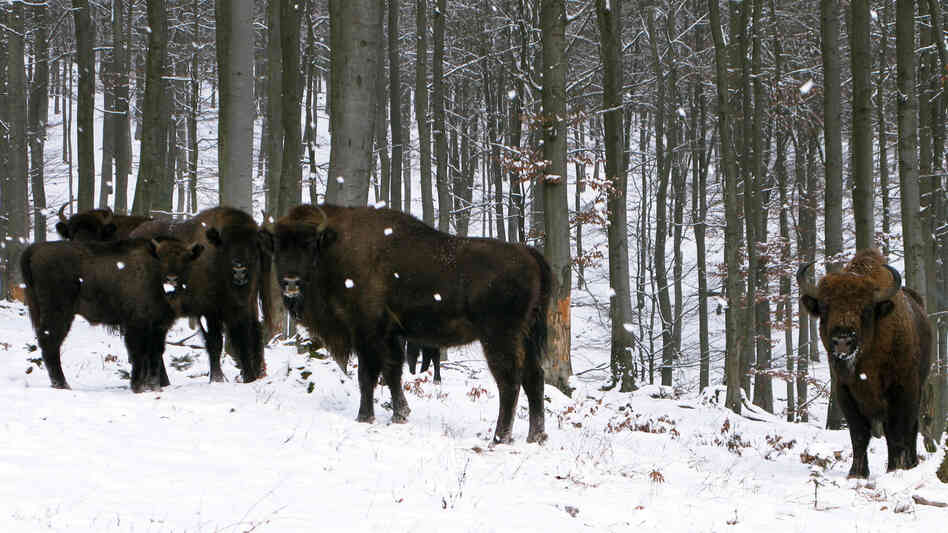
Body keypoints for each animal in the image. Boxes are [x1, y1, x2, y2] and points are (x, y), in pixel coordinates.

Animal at [20, 237, 204, 392]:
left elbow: (155, 354)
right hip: (59, 313)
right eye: (161, 258)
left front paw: (154, 386)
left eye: (186, 259)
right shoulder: (137, 324)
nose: (171, 278)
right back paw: (63, 385)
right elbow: (139, 353)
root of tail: (34, 249)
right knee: (50, 343)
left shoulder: (159, 326)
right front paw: (138, 386)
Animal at [131, 206, 271, 383]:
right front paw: (217, 379)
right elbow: (215, 342)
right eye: (226, 245)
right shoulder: (209, 312)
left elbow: (249, 335)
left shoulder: (243, 306)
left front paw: (250, 377)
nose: (239, 269)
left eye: (253, 245)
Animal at [262, 204, 552, 444]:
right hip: (524, 336)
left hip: (499, 338)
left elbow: (367, 375)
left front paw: (364, 417)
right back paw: (535, 436)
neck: (334, 247)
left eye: (309, 244)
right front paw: (400, 415)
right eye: (278, 245)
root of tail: (529, 254)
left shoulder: (366, 331)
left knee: (510, 381)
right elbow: (392, 372)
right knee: (534, 377)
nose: (290, 282)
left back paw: (500, 438)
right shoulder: (390, 335)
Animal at [798, 249, 933, 478]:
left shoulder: (902, 390)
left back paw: (910, 463)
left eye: (866, 309)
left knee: (911, 429)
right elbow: (859, 434)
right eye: (824, 307)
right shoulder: (845, 392)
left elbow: (897, 431)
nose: (842, 339)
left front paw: (895, 469)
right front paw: (857, 473)